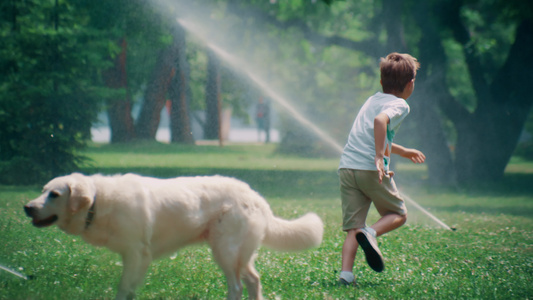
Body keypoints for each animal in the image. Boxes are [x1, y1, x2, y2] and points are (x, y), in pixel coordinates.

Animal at [23, 173, 324, 300]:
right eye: (43, 190)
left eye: (55, 194)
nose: (27, 207)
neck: (97, 202)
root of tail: (256, 196)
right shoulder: (133, 258)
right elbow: (129, 289)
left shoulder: (136, 254)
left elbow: (123, 289)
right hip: (238, 254)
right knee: (252, 280)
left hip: (224, 251)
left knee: (237, 286)